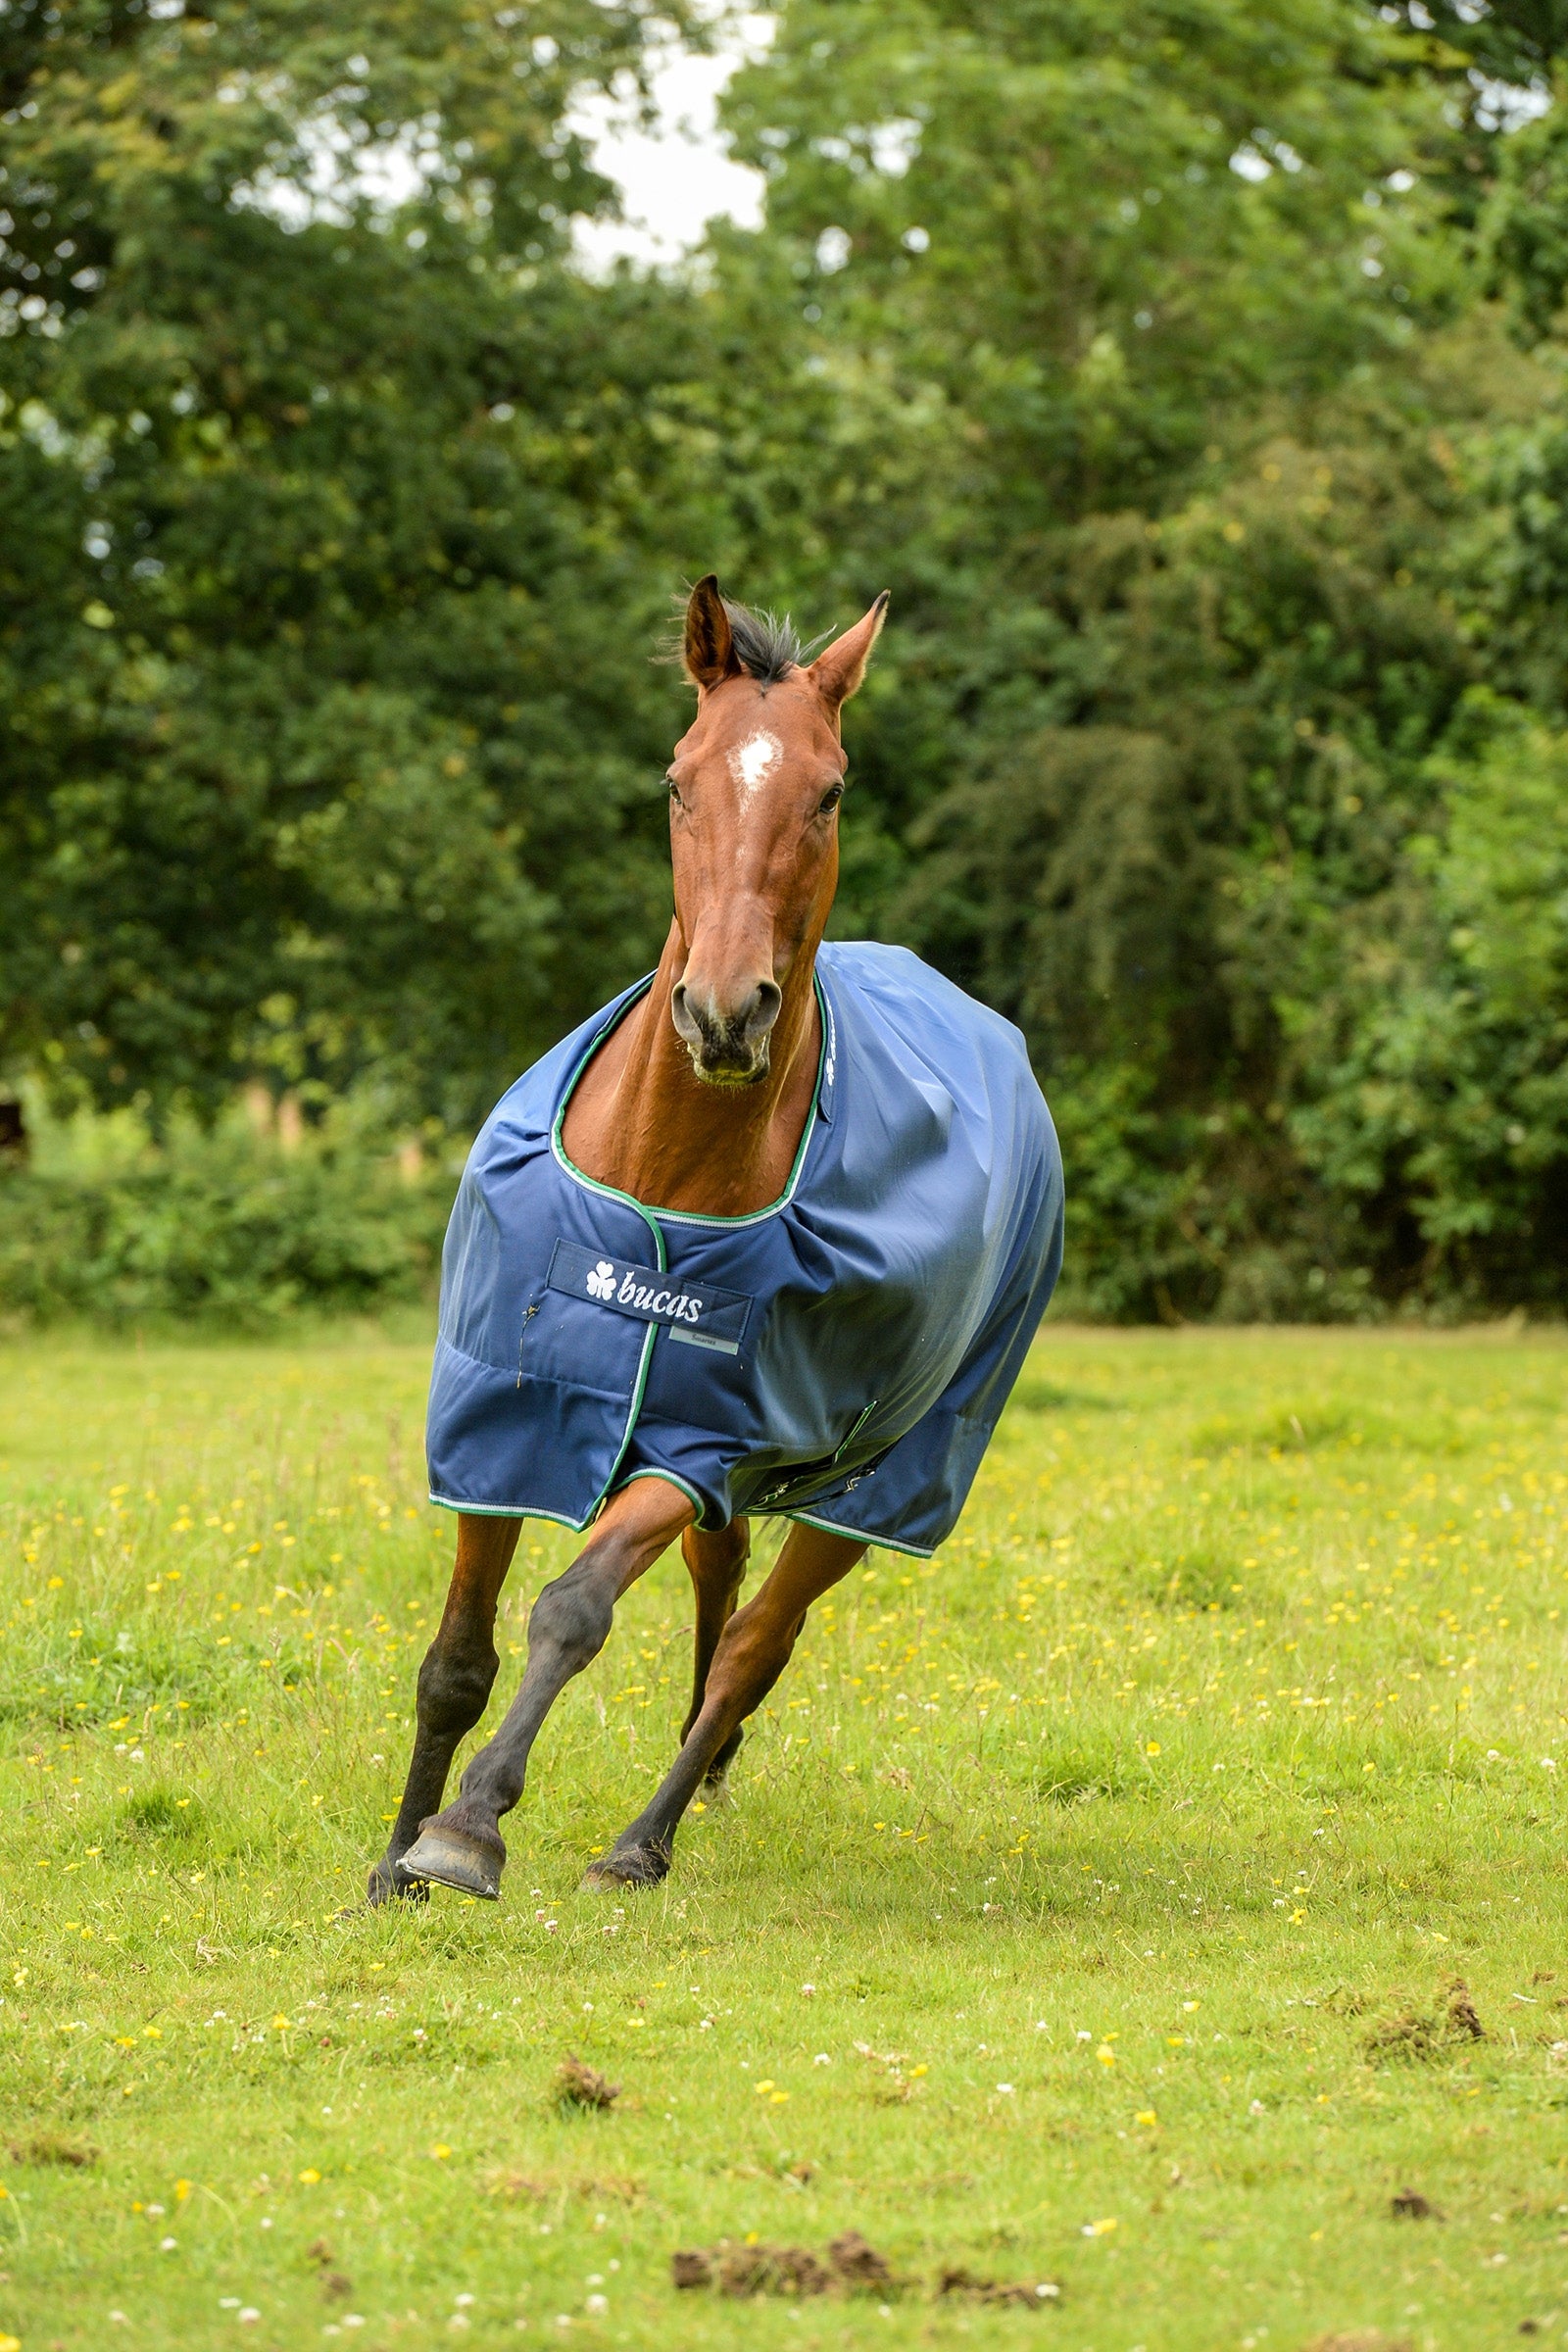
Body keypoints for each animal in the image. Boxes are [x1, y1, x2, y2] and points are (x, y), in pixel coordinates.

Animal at [369, 577, 1063, 1907]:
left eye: (828, 790)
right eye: (677, 778)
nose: (726, 1012)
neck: (663, 1192)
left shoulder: (696, 1446)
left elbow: (571, 1611)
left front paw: (468, 1829)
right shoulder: (500, 1411)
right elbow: (457, 1658)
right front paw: (391, 1861)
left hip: (880, 1478)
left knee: (755, 1640)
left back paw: (645, 1838)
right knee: (722, 1592)